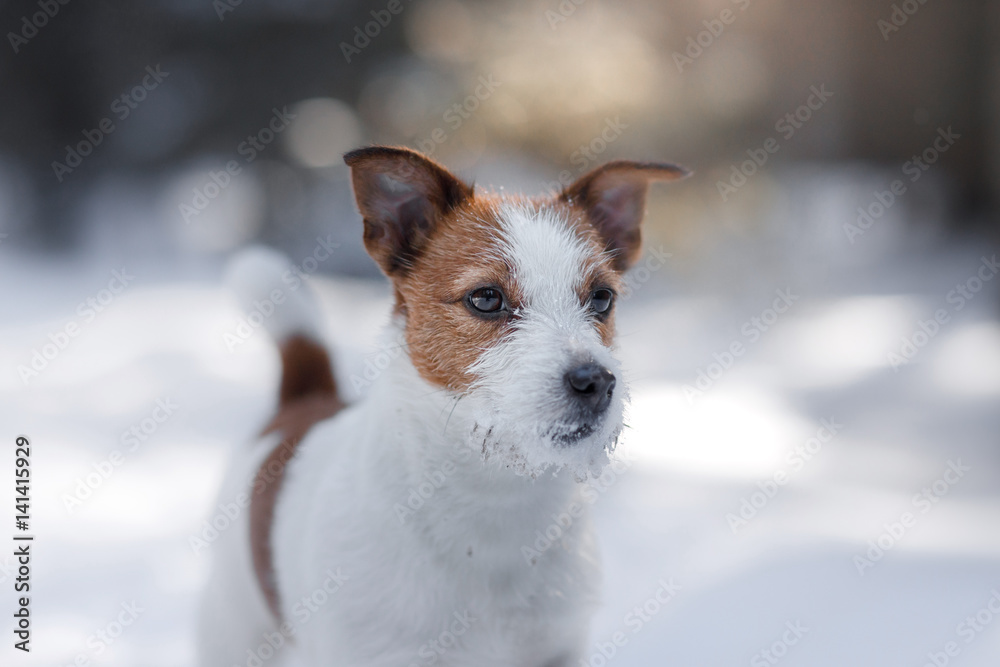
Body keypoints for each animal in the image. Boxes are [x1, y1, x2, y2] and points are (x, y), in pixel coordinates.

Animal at [197, 147, 688, 667]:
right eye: (487, 298)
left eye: (602, 297)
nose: (594, 381)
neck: (493, 499)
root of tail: (306, 398)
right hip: (233, 631)